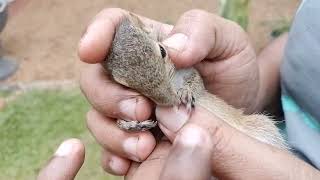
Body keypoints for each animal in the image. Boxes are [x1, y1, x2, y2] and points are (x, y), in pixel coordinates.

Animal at [102, 13, 288, 149]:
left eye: (162, 51)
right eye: (124, 85)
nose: (169, 101)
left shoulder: (190, 70)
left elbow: (198, 83)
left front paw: (186, 93)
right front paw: (128, 125)